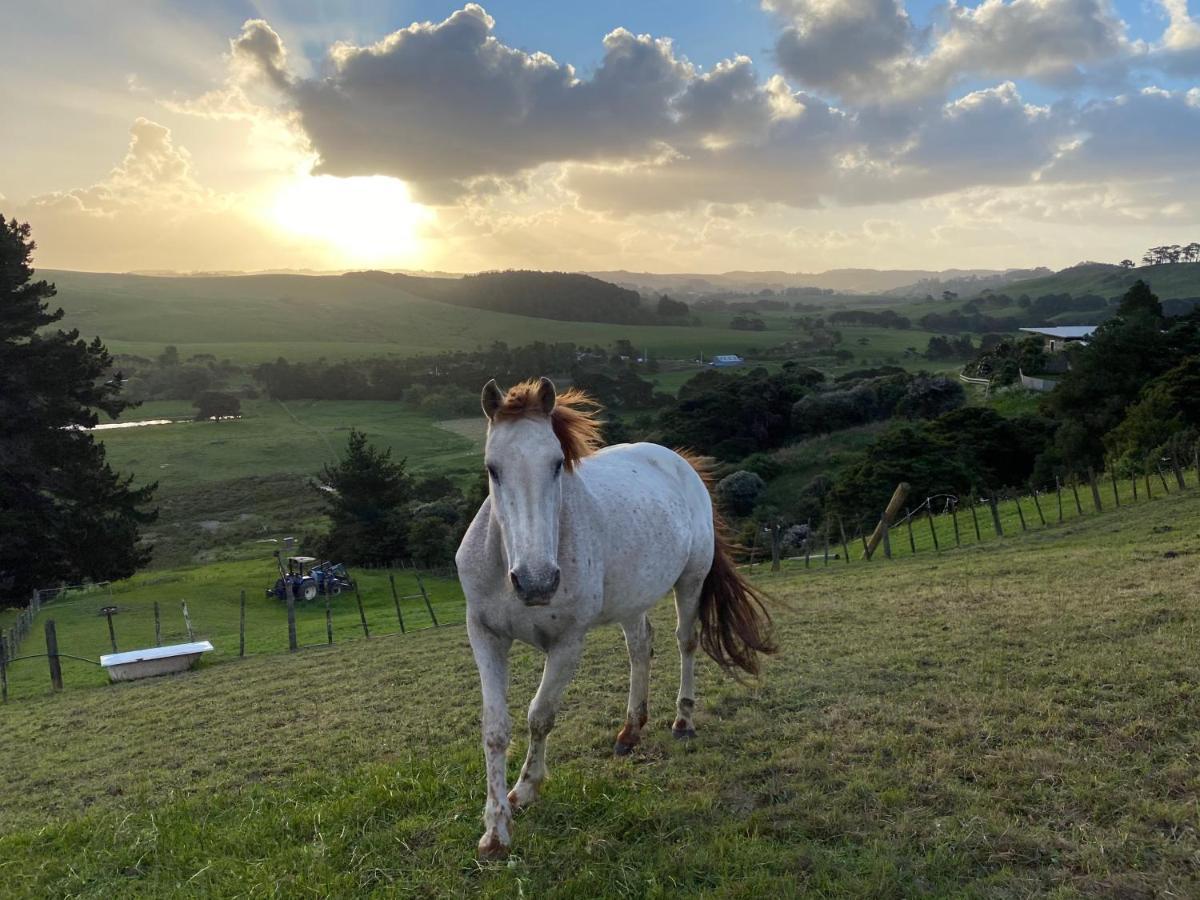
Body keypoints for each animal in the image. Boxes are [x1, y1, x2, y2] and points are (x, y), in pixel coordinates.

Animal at [453, 379, 772, 859]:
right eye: (493, 468)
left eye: (556, 465)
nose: (536, 582)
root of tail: (678, 461)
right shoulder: (486, 636)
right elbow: (495, 729)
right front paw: (495, 830)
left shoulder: (568, 644)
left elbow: (540, 715)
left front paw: (526, 790)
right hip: (632, 601)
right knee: (640, 648)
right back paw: (630, 731)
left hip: (691, 581)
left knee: (686, 642)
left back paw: (683, 721)